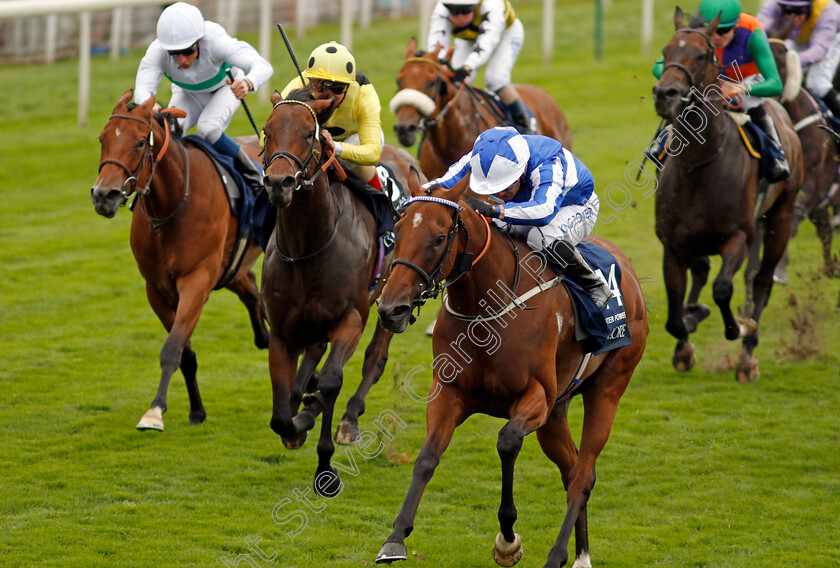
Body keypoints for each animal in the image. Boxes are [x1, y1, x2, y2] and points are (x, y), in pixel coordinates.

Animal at [89, 90, 266, 430]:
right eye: (102, 138)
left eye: (140, 142)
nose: (104, 195)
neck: (172, 205)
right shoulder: (157, 290)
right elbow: (185, 353)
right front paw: (196, 410)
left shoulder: (196, 282)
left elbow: (173, 347)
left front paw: (154, 411)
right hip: (232, 264)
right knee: (251, 287)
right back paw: (265, 336)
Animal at [260, 89, 426, 492]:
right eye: (267, 130)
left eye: (309, 134)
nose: (278, 183)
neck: (308, 247)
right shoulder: (281, 331)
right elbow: (280, 414)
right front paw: (296, 419)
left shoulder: (350, 317)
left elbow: (332, 381)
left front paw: (325, 465)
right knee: (314, 355)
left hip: (392, 301)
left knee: (373, 359)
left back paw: (348, 418)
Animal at [370, 181, 648, 564]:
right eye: (396, 232)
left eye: (439, 238)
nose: (390, 309)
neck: (487, 307)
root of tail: (628, 270)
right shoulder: (449, 394)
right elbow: (426, 458)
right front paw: (395, 538)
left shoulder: (537, 396)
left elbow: (507, 441)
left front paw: (507, 540)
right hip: (556, 414)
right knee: (571, 468)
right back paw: (580, 554)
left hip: (607, 390)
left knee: (583, 476)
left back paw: (559, 555)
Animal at [652, 8, 804, 382]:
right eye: (665, 51)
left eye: (701, 55)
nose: (665, 94)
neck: (699, 167)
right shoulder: (672, 243)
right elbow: (674, 312)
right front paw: (688, 332)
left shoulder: (739, 235)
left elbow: (723, 289)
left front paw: (740, 327)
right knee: (703, 269)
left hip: (779, 216)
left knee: (761, 281)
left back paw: (748, 355)